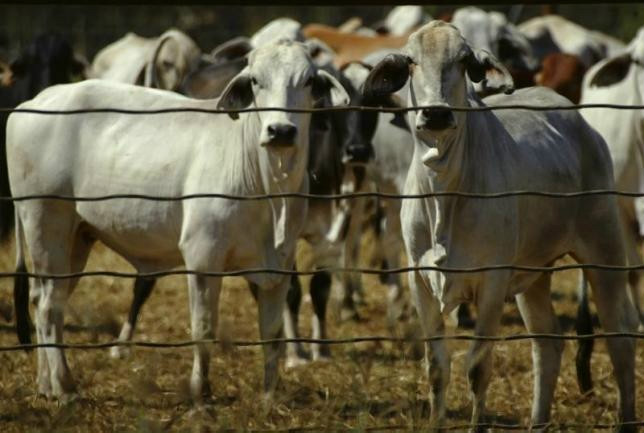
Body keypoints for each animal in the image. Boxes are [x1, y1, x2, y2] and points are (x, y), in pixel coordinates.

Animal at [7, 39, 349, 402]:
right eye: (256, 80)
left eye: (309, 80)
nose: (281, 130)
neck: (270, 190)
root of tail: (34, 101)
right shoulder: (202, 258)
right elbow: (203, 328)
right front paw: (201, 392)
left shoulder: (278, 265)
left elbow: (271, 332)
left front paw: (269, 396)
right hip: (45, 225)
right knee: (48, 306)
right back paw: (65, 387)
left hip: (76, 239)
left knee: (43, 300)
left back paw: (46, 384)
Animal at [362, 21, 639, 429]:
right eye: (410, 61)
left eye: (464, 60)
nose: (436, 114)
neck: (444, 193)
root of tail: (579, 121)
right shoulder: (420, 281)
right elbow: (436, 368)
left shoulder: (492, 282)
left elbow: (478, 368)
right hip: (535, 272)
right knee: (547, 341)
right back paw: (537, 422)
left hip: (603, 247)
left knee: (621, 333)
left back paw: (626, 417)